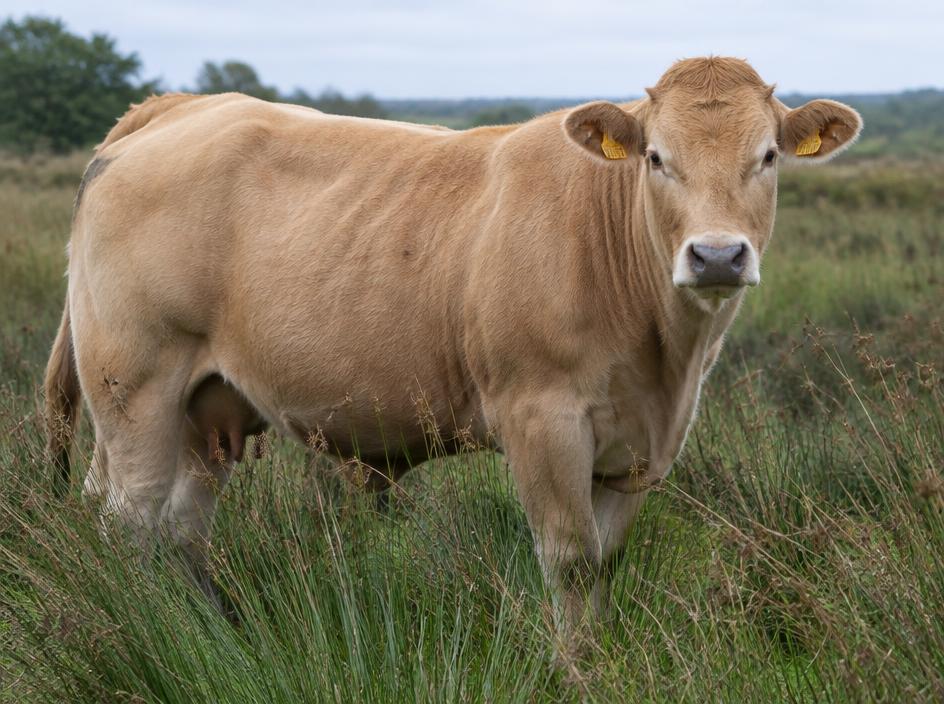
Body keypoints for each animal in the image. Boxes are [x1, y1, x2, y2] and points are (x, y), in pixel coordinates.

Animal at [44, 57, 861, 641]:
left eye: (768, 157)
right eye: (656, 158)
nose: (717, 255)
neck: (665, 360)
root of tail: (183, 106)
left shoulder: (638, 449)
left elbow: (606, 563)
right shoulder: (541, 419)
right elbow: (571, 562)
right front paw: (576, 672)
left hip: (206, 405)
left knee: (182, 524)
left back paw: (208, 632)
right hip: (136, 387)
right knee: (130, 520)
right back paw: (154, 634)